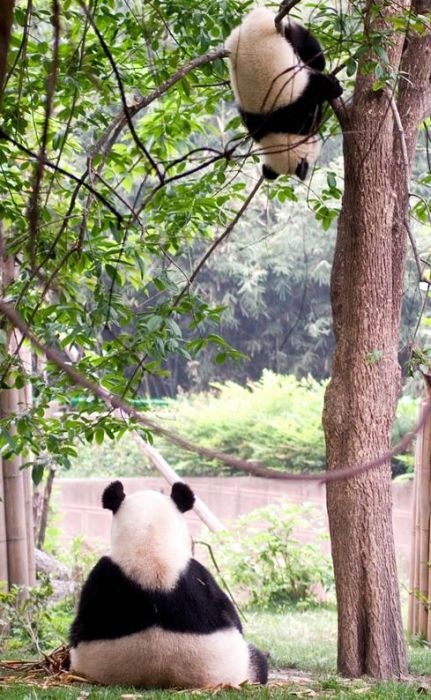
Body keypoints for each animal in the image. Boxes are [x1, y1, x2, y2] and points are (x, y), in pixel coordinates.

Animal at [226, 6, 344, 180]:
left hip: (286, 32)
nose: (304, 173)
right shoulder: (254, 122)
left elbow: (317, 88)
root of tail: (255, 17)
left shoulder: (296, 109)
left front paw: (335, 88)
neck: (276, 132)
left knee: (312, 52)